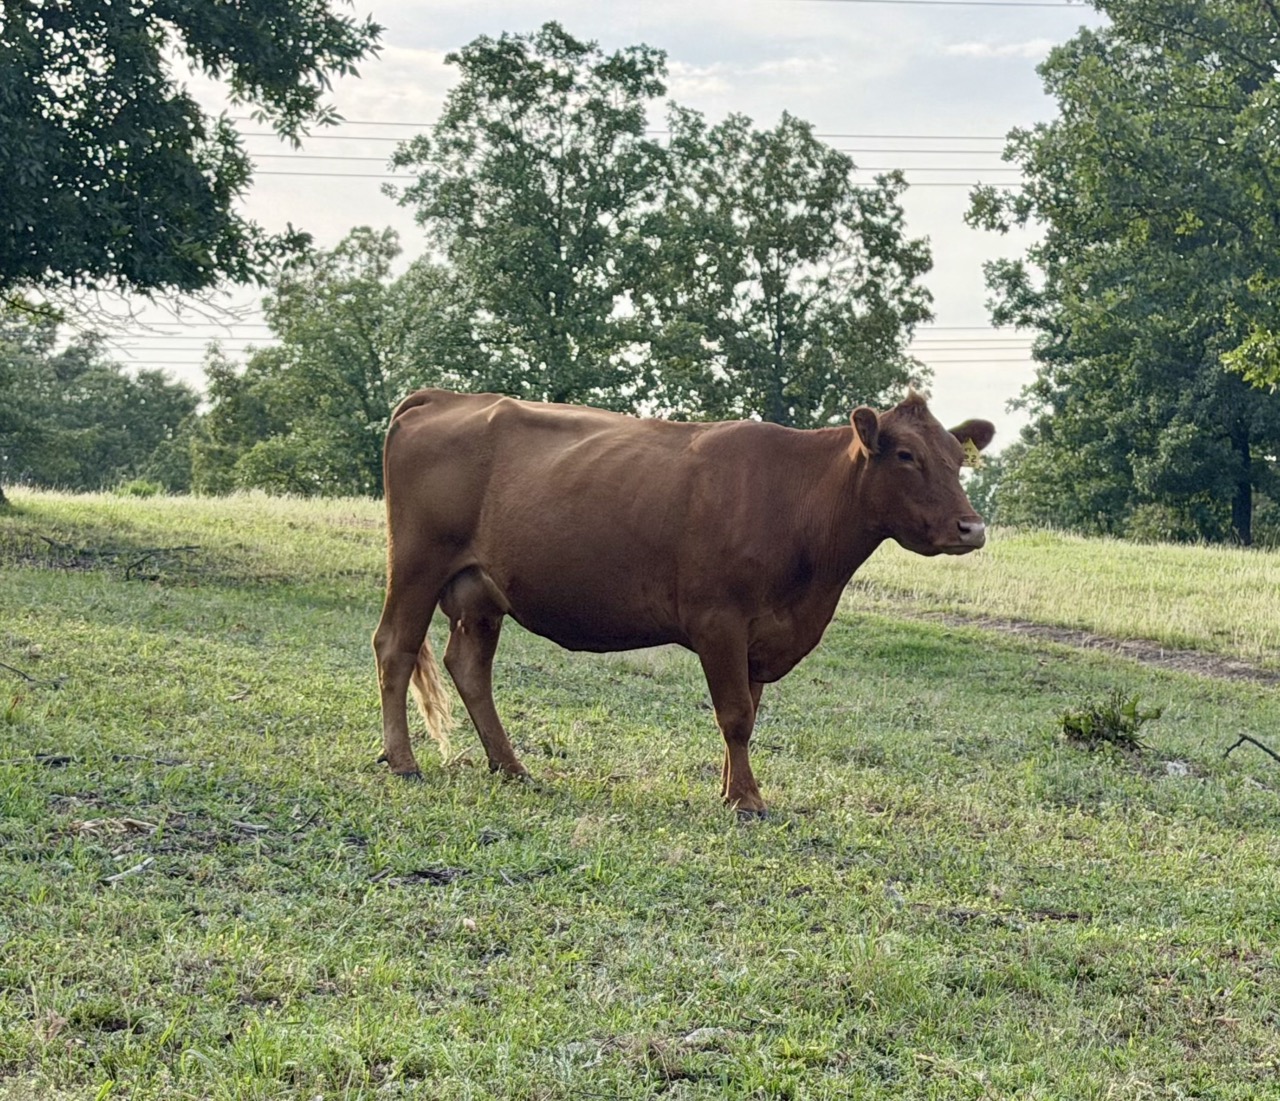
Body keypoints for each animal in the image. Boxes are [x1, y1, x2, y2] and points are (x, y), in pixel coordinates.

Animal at [373, 388, 994, 815]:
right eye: (906, 455)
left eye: (956, 457)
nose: (972, 527)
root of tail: (446, 396)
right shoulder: (719, 618)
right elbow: (735, 713)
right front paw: (747, 800)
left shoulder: (761, 633)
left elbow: (748, 714)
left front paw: (730, 789)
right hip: (418, 562)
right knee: (395, 648)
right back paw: (403, 762)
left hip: (480, 591)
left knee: (469, 667)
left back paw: (510, 767)